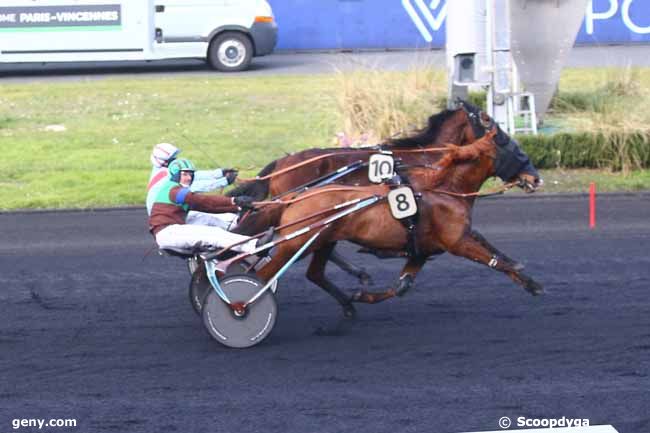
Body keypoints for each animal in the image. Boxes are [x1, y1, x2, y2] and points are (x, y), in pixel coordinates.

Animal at [246, 125, 540, 318]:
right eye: (517, 151)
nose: (536, 179)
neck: (444, 188)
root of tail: (296, 196)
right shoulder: (457, 242)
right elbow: (494, 261)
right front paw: (530, 281)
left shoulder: (423, 250)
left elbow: (402, 286)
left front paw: (362, 296)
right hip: (296, 243)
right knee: (263, 275)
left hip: (321, 241)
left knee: (314, 273)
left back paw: (349, 305)